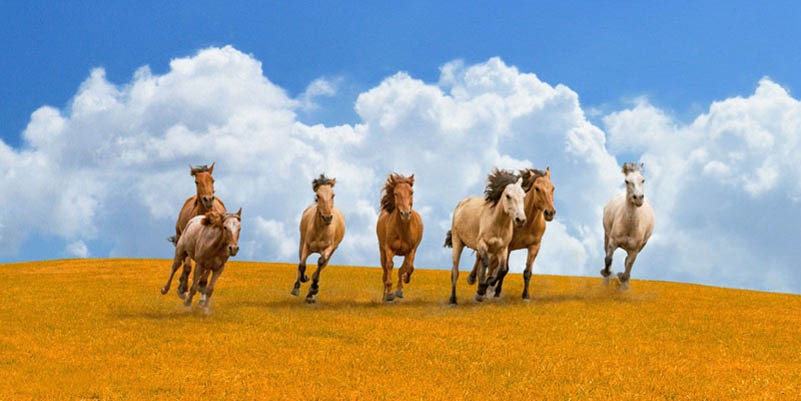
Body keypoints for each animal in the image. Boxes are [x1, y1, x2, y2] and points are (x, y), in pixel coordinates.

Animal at [168, 163, 227, 298]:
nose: (208, 199)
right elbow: (187, 266)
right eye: (196, 181)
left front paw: (201, 284)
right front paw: (183, 287)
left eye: (212, 180)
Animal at [291, 174, 346, 303]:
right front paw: (304, 279)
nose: (327, 218)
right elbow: (302, 265)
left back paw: (311, 294)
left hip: (332, 250)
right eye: (318, 196)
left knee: (323, 264)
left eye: (333, 195)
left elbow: (320, 263)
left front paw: (314, 288)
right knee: (300, 262)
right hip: (301, 243)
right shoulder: (306, 246)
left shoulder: (329, 248)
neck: (321, 231)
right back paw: (298, 287)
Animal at [376, 173, 423, 302]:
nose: (406, 214)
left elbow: (408, 267)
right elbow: (389, 266)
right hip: (381, 250)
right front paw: (389, 294)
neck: (403, 230)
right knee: (384, 271)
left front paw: (401, 288)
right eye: (396, 193)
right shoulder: (388, 249)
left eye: (411, 192)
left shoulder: (411, 250)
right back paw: (384, 296)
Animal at [444, 169, 527, 304]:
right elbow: (486, 262)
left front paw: (486, 285)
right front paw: (482, 287)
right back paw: (453, 299)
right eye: (508, 196)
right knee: (455, 271)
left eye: (524, 196)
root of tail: (461, 204)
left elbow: (502, 269)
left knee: (479, 260)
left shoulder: (503, 248)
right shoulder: (482, 243)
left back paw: (473, 282)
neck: (497, 224)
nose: (520, 220)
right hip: (458, 242)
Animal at [467, 167, 556, 299]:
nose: (550, 213)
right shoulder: (507, 246)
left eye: (553, 188)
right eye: (537, 188)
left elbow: (527, 272)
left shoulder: (534, 247)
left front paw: (525, 296)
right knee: (482, 259)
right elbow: (504, 270)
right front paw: (495, 291)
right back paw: (474, 280)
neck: (527, 223)